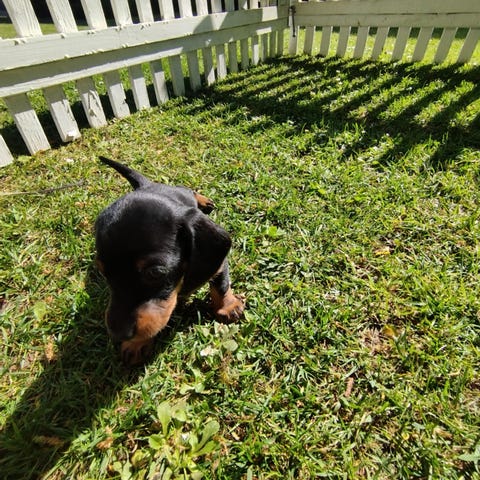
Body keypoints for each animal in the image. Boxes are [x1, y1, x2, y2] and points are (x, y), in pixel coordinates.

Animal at [95, 156, 245, 366]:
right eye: (102, 272)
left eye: (155, 273)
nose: (118, 334)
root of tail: (148, 185)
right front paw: (136, 343)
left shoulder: (218, 263)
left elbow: (221, 286)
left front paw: (229, 306)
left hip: (181, 191)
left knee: (186, 187)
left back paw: (202, 199)